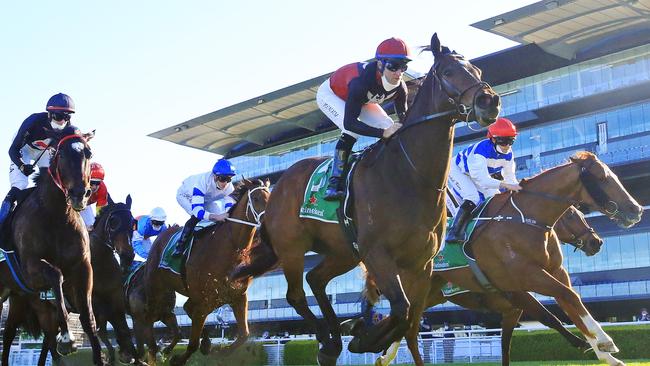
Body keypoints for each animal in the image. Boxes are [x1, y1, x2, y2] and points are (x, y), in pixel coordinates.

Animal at [7, 127, 107, 364]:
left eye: (88, 153)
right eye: (60, 154)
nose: (79, 193)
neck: (56, 215)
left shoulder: (83, 268)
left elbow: (88, 319)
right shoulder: (30, 269)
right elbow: (56, 274)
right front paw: (67, 339)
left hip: (22, 299)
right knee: (8, 336)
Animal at [142, 178, 270, 366]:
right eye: (255, 198)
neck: (229, 247)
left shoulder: (236, 296)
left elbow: (244, 335)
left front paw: (219, 352)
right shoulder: (205, 300)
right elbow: (193, 343)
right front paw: (178, 359)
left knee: (186, 308)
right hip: (156, 286)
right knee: (151, 316)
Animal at [230, 32, 498, 364]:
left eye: (478, 70)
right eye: (448, 71)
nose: (489, 102)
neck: (409, 175)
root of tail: (277, 188)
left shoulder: (421, 264)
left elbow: (410, 319)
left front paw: (363, 333)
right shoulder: (378, 254)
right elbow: (401, 309)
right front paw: (363, 338)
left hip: (344, 251)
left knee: (316, 279)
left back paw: (334, 338)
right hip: (292, 248)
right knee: (296, 294)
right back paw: (327, 340)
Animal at [370, 206, 604, 366]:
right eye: (571, 215)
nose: (596, 241)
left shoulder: (512, 311)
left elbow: (505, 346)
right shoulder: (517, 296)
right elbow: (550, 318)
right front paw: (583, 343)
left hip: (430, 296)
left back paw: (385, 356)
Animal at [426, 150, 636, 364]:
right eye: (602, 178)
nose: (636, 209)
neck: (525, 218)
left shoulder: (553, 274)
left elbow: (571, 303)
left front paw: (606, 355)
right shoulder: (525, 277)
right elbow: (566, 300)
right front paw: (603, 341)